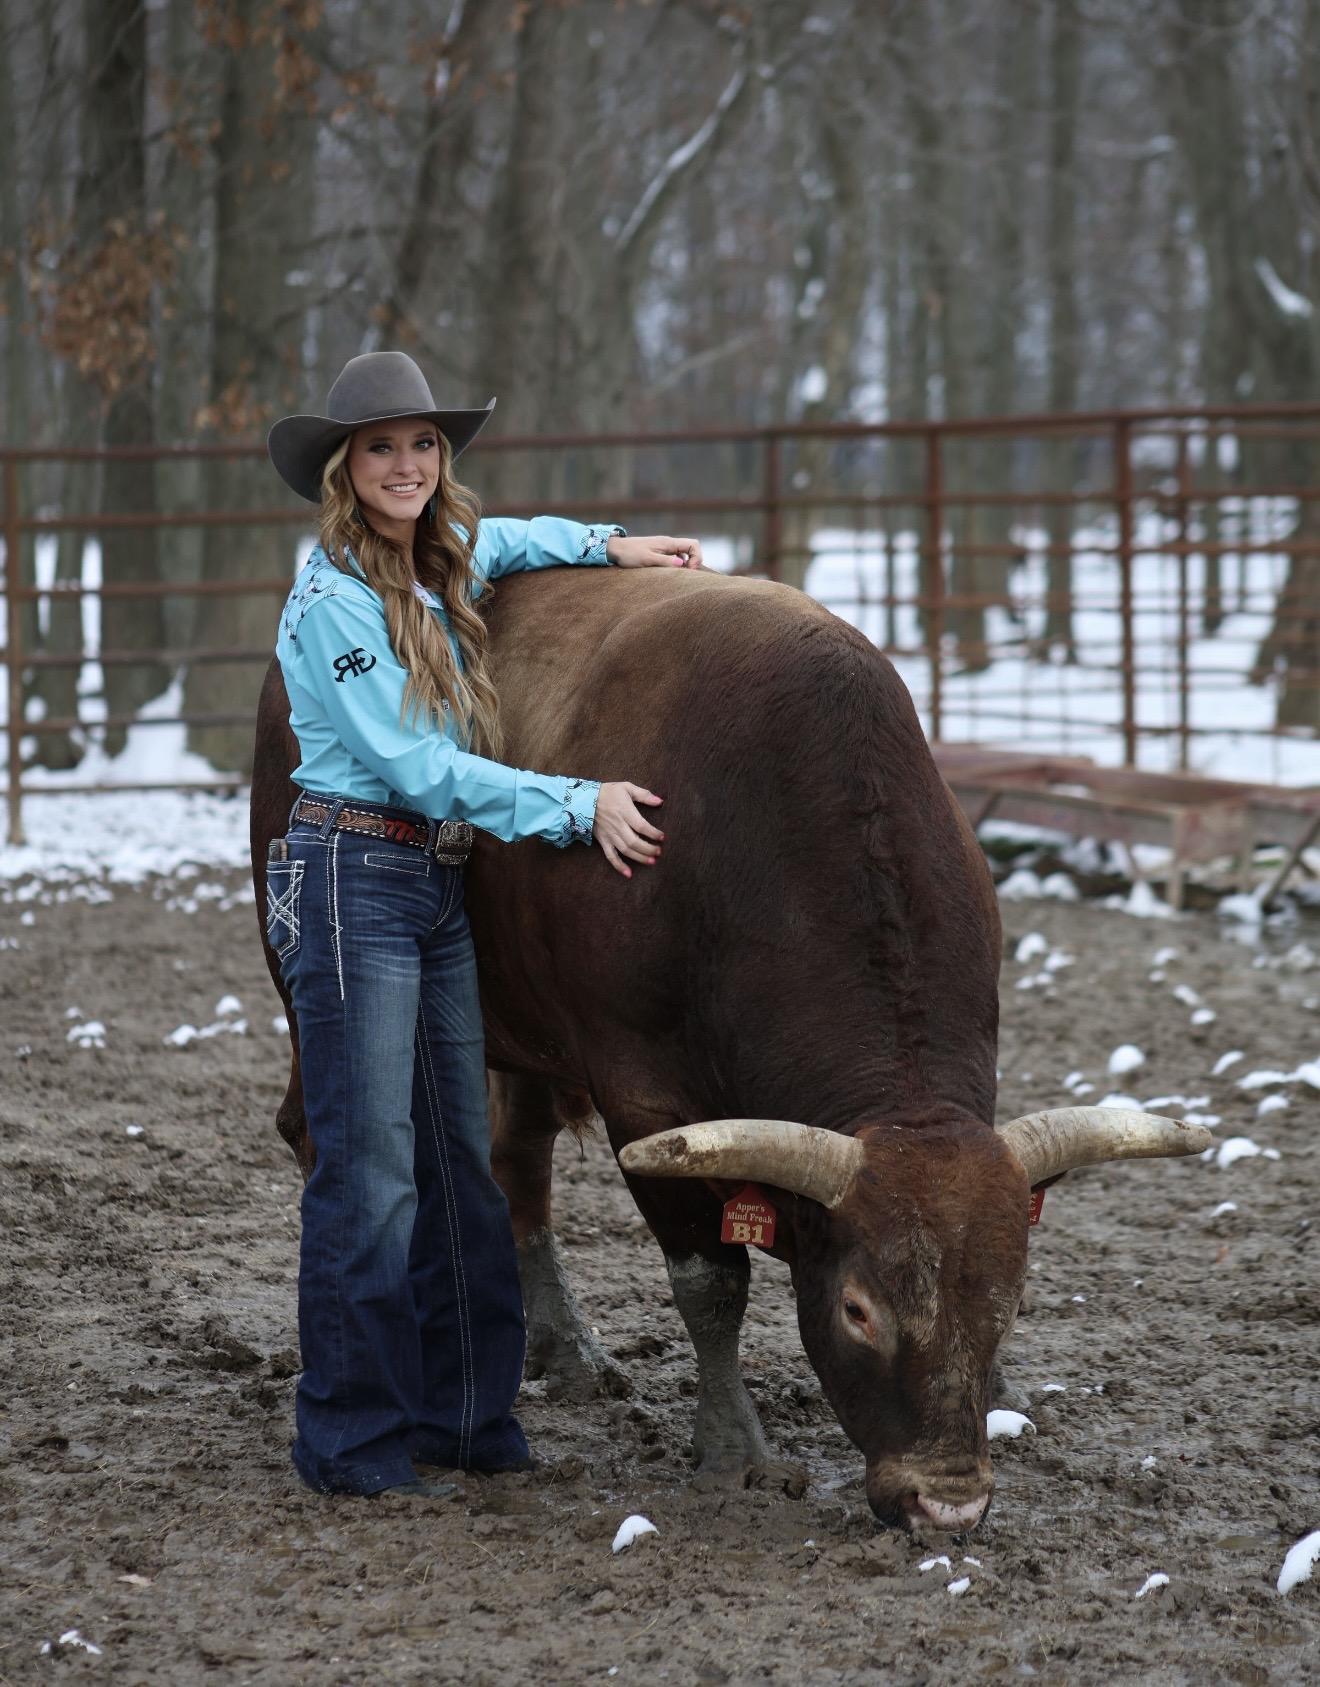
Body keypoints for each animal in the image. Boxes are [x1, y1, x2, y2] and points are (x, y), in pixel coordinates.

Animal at [251, 564, 1208, 1532]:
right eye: (858, 1308)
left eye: (1009, 1302)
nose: (946, 1502)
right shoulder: (642, 1099)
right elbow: (712, 1282)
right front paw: (733, 1448)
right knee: (324, 1136)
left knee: (514, 1162)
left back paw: (568, 1351)